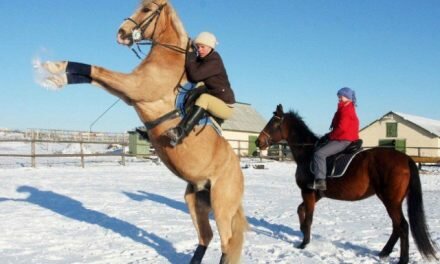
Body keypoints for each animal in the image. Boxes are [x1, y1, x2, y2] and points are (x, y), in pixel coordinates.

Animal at [37, 1, 248, 262]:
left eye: (147, 9)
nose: (121, 33)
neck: (170, 59)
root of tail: (238, 171)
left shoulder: (134, 88)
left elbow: (96, 69)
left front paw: (51, 68)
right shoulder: (128, 93)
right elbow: (91, 75)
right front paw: (53, 76)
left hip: (221, 204)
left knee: (227, 243)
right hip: (195, 199)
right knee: (205, 237)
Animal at [256, 104, 438, 264]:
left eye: (274, 123)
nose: (258, 142)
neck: (307, 154)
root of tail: (405, 158)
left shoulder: (307, 192)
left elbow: (308, 218)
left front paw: (304, 244)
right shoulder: (316, 194)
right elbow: (300, 210)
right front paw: (301, 231)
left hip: (391, 201)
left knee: (402, 226)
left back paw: (402, 259)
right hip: (392, 201)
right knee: (396, 227)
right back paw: (384, 252)